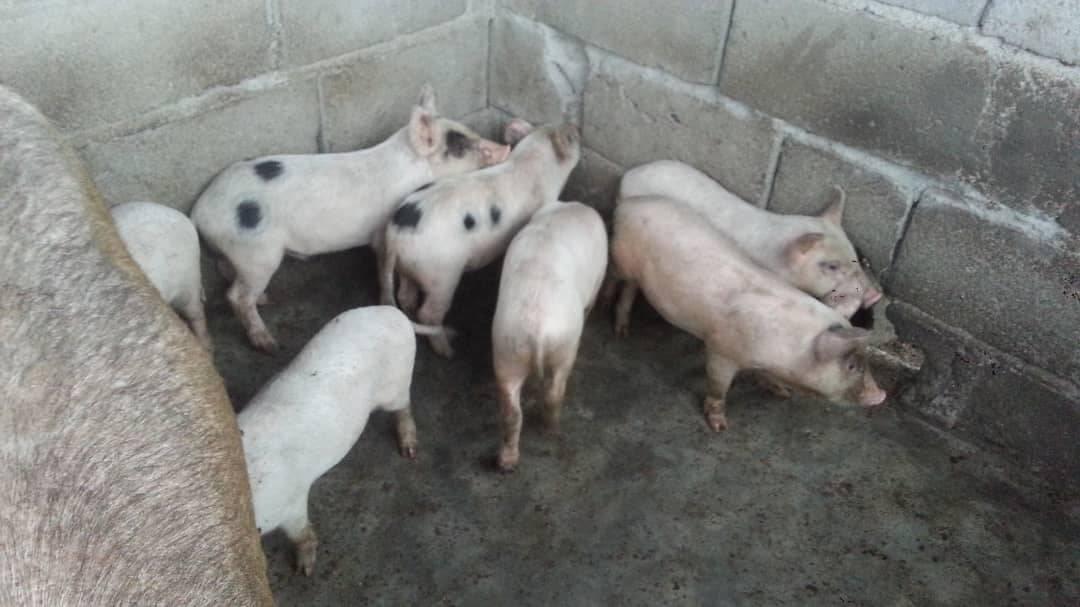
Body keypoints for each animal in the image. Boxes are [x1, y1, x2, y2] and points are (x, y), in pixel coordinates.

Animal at [191, 84, 510, 353]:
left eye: (468, 133)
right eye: (461, 148)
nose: (505, 148)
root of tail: (200, 211)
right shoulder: (382, 232)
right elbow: (383, 270)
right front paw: (389, 303)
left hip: (237, 252)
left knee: (227, 272)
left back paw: (264, 299)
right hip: (257, 254)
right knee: (236, 296)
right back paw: (268, 343)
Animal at [239, 305, 441, 575]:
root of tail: (397, 314)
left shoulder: (289, 502)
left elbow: (298, 530)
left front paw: (304, 570)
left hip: (397, 383)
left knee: (404, 406)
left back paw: (408, 450)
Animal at [380, 120, 582, 358]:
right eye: (572, 138)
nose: (574, 126)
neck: (534, 164)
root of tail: (395, 237)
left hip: (409, 267)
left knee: (405, 296)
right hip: (441, 274)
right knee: (428, 313)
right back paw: (448, 351)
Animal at [491, 201, 608, 472]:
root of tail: (537, 332)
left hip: (507, 347)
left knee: (511, 411)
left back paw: (506, 464)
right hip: (564, 346)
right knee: (554, 391)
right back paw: (551, 429)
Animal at [610, 195, 887, 432]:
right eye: (851, 366)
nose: (880, 396)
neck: (789, 347)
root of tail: (629, 203)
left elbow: (764, 376)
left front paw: (782, 392)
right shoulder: (721, 350)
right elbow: (718, 386)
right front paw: (720, 427)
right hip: (622, 261)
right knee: (622, 285)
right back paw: (616, 323)